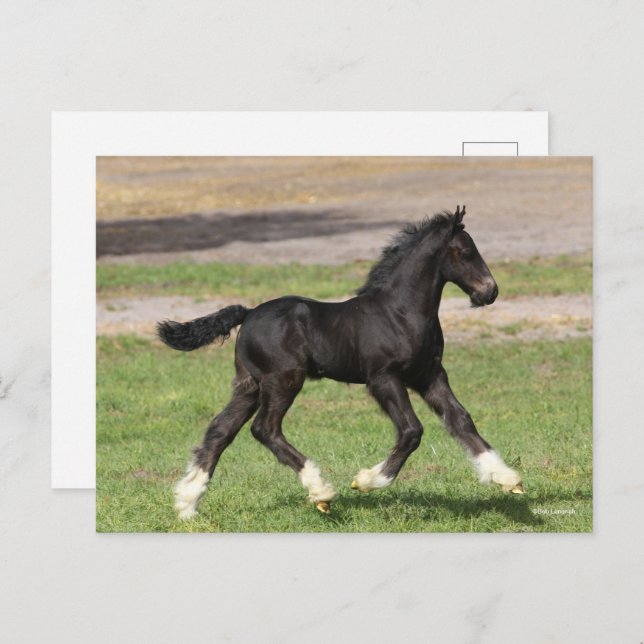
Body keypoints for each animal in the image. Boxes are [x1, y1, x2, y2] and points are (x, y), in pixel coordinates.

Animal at [157, 206, 524, 520]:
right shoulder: (383, 378)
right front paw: (367, 481)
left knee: (220, 430)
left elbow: (461, 420)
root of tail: (247, 314)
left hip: (249, 384)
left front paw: (508, 479)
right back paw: (320, 491)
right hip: (283, 379)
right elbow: (411, 431)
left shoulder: (429, 375)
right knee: (265, 429)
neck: (400, 314)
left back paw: (187, 504)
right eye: (466, 251)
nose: (490, 291)